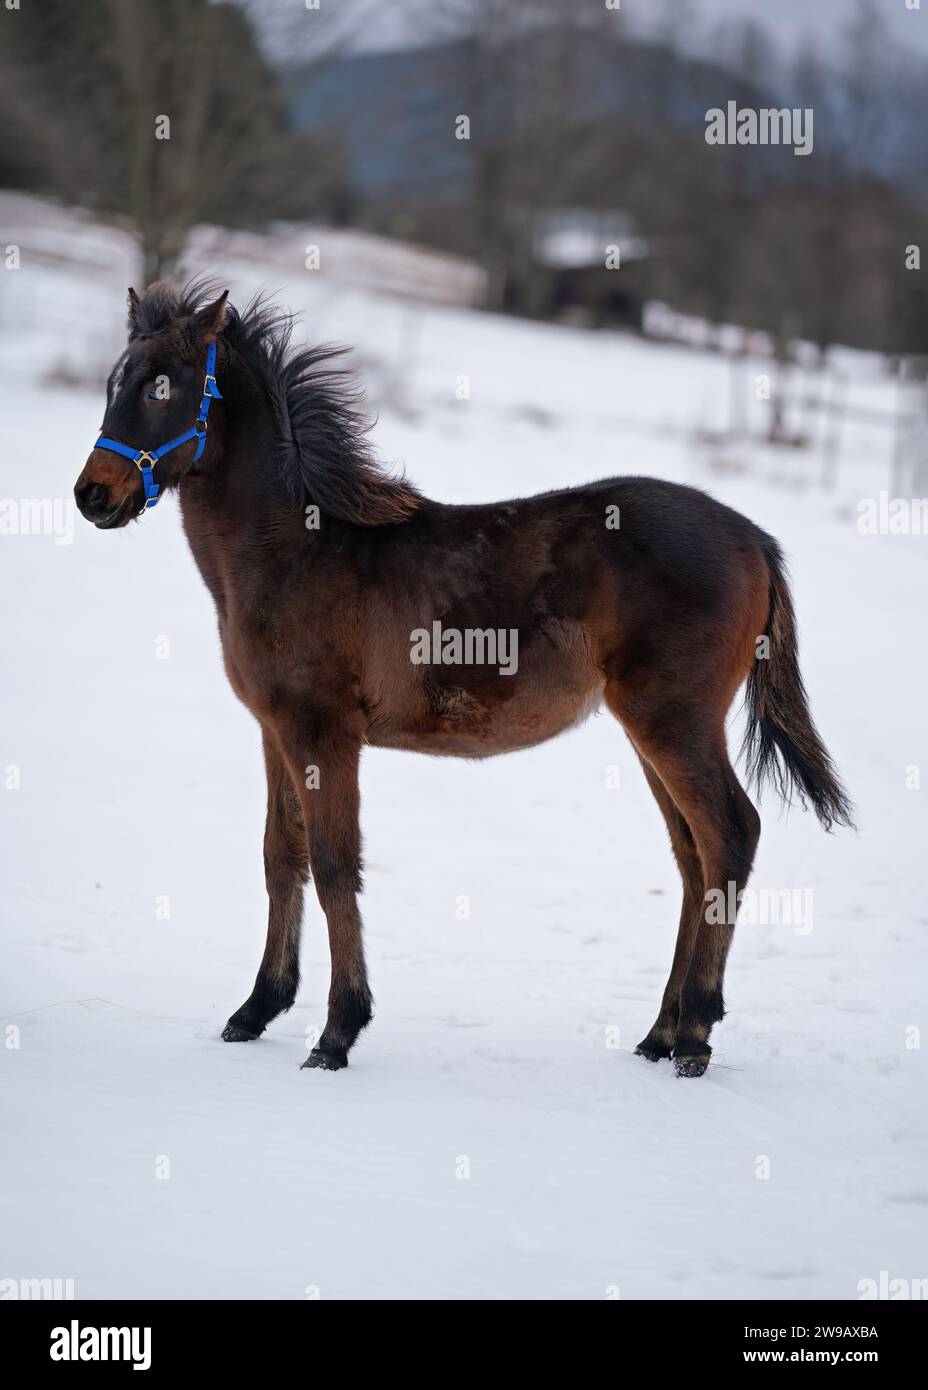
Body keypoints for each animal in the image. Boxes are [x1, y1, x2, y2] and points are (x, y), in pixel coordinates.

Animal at [76, 287, 850, 1078]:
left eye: (161, 386)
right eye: (115, 381)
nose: (93, 494)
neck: (298, 549)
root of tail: (754, 539)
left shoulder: (324, 731)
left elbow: (334, 864)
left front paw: (337, 1032)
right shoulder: (275, 730)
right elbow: (280, 856)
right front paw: (257, 1009)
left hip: (673, 721)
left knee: (729, 834)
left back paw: (694, 1032)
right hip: (652, 730)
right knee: (694, 858)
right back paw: (659, 1032)